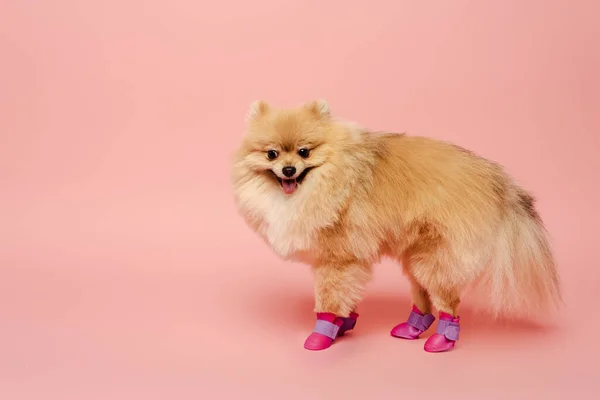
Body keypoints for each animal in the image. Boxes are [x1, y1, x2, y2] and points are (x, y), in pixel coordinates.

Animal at [231, 101, 564, 354]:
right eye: (272, 154)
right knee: (424, 297)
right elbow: (346, 297)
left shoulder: (338, 259)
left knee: (448, 301)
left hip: (435, 257)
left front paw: (322, 334)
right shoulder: (347, 261)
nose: (288, 170)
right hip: (417, 256)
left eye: (304, 152)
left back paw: (441, 340)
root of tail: (495, 179)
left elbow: (330, 298)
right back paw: (412, 329)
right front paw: (343, 324)